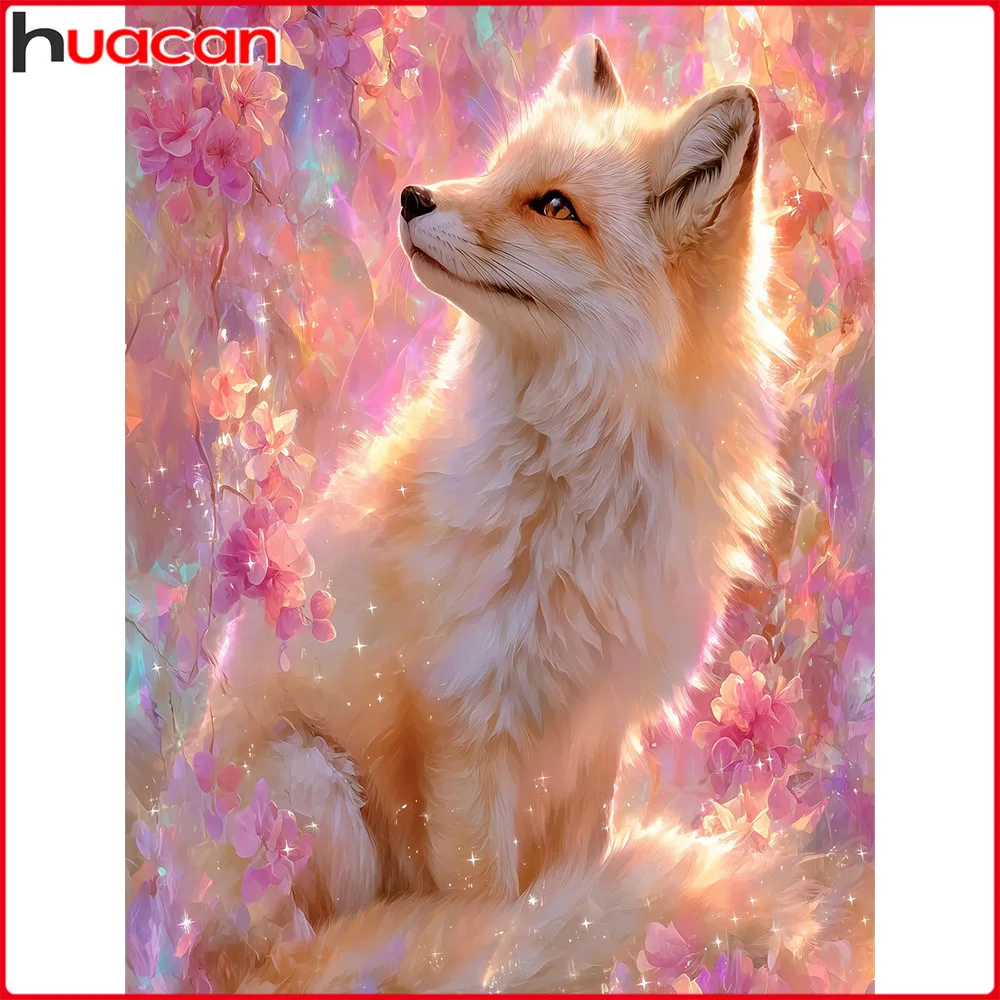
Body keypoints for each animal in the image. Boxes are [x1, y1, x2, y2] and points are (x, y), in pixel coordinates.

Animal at [186, 34, 793, 990]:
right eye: (499, 167)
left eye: (554, 205)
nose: (411, 196)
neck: (585, 482)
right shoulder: (467, 726)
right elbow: (493, 912)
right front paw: (513, 954)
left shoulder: (596, 734)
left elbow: (575, 882)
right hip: (310, 788)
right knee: (296, 958)